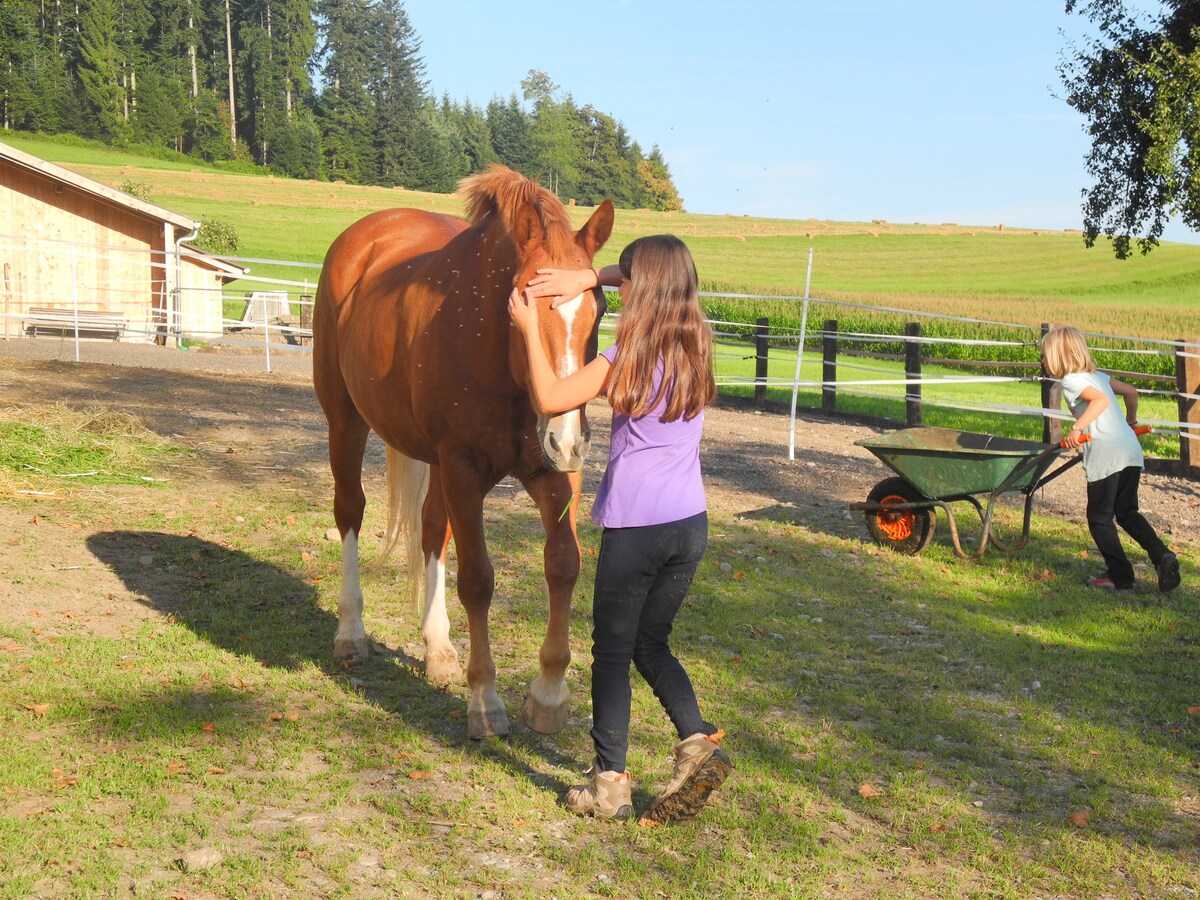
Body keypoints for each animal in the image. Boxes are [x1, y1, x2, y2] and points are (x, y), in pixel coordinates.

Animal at [314, 164, 614, 739]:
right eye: (523, 302)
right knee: (350, 512)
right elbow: (478, 580)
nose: (569, 440)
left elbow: (564, 564)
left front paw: (548, 695)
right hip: (346, 421)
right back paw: (351, 631)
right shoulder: (463, 468)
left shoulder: (551, 474)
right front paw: (485, 700)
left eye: (601, 306)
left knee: (433, 530)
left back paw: (438, 648)